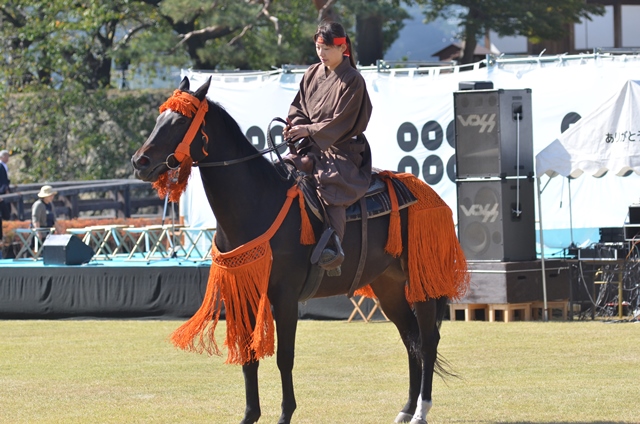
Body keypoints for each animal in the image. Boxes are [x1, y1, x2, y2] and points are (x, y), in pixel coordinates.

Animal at [131, 77, 470, 424]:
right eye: (159, 118)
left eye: (180, 121)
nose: (140, 162)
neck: (256, 202)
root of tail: (431, 196)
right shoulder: (245, 293)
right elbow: (248, 355)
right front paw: (250, 414)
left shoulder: (285, 295)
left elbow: (285, 357)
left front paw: (285, 414)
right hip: (388, 286)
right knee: (410, 339)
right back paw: (407, 408)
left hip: (422, 282)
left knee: (427, 342)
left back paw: (421, 410)